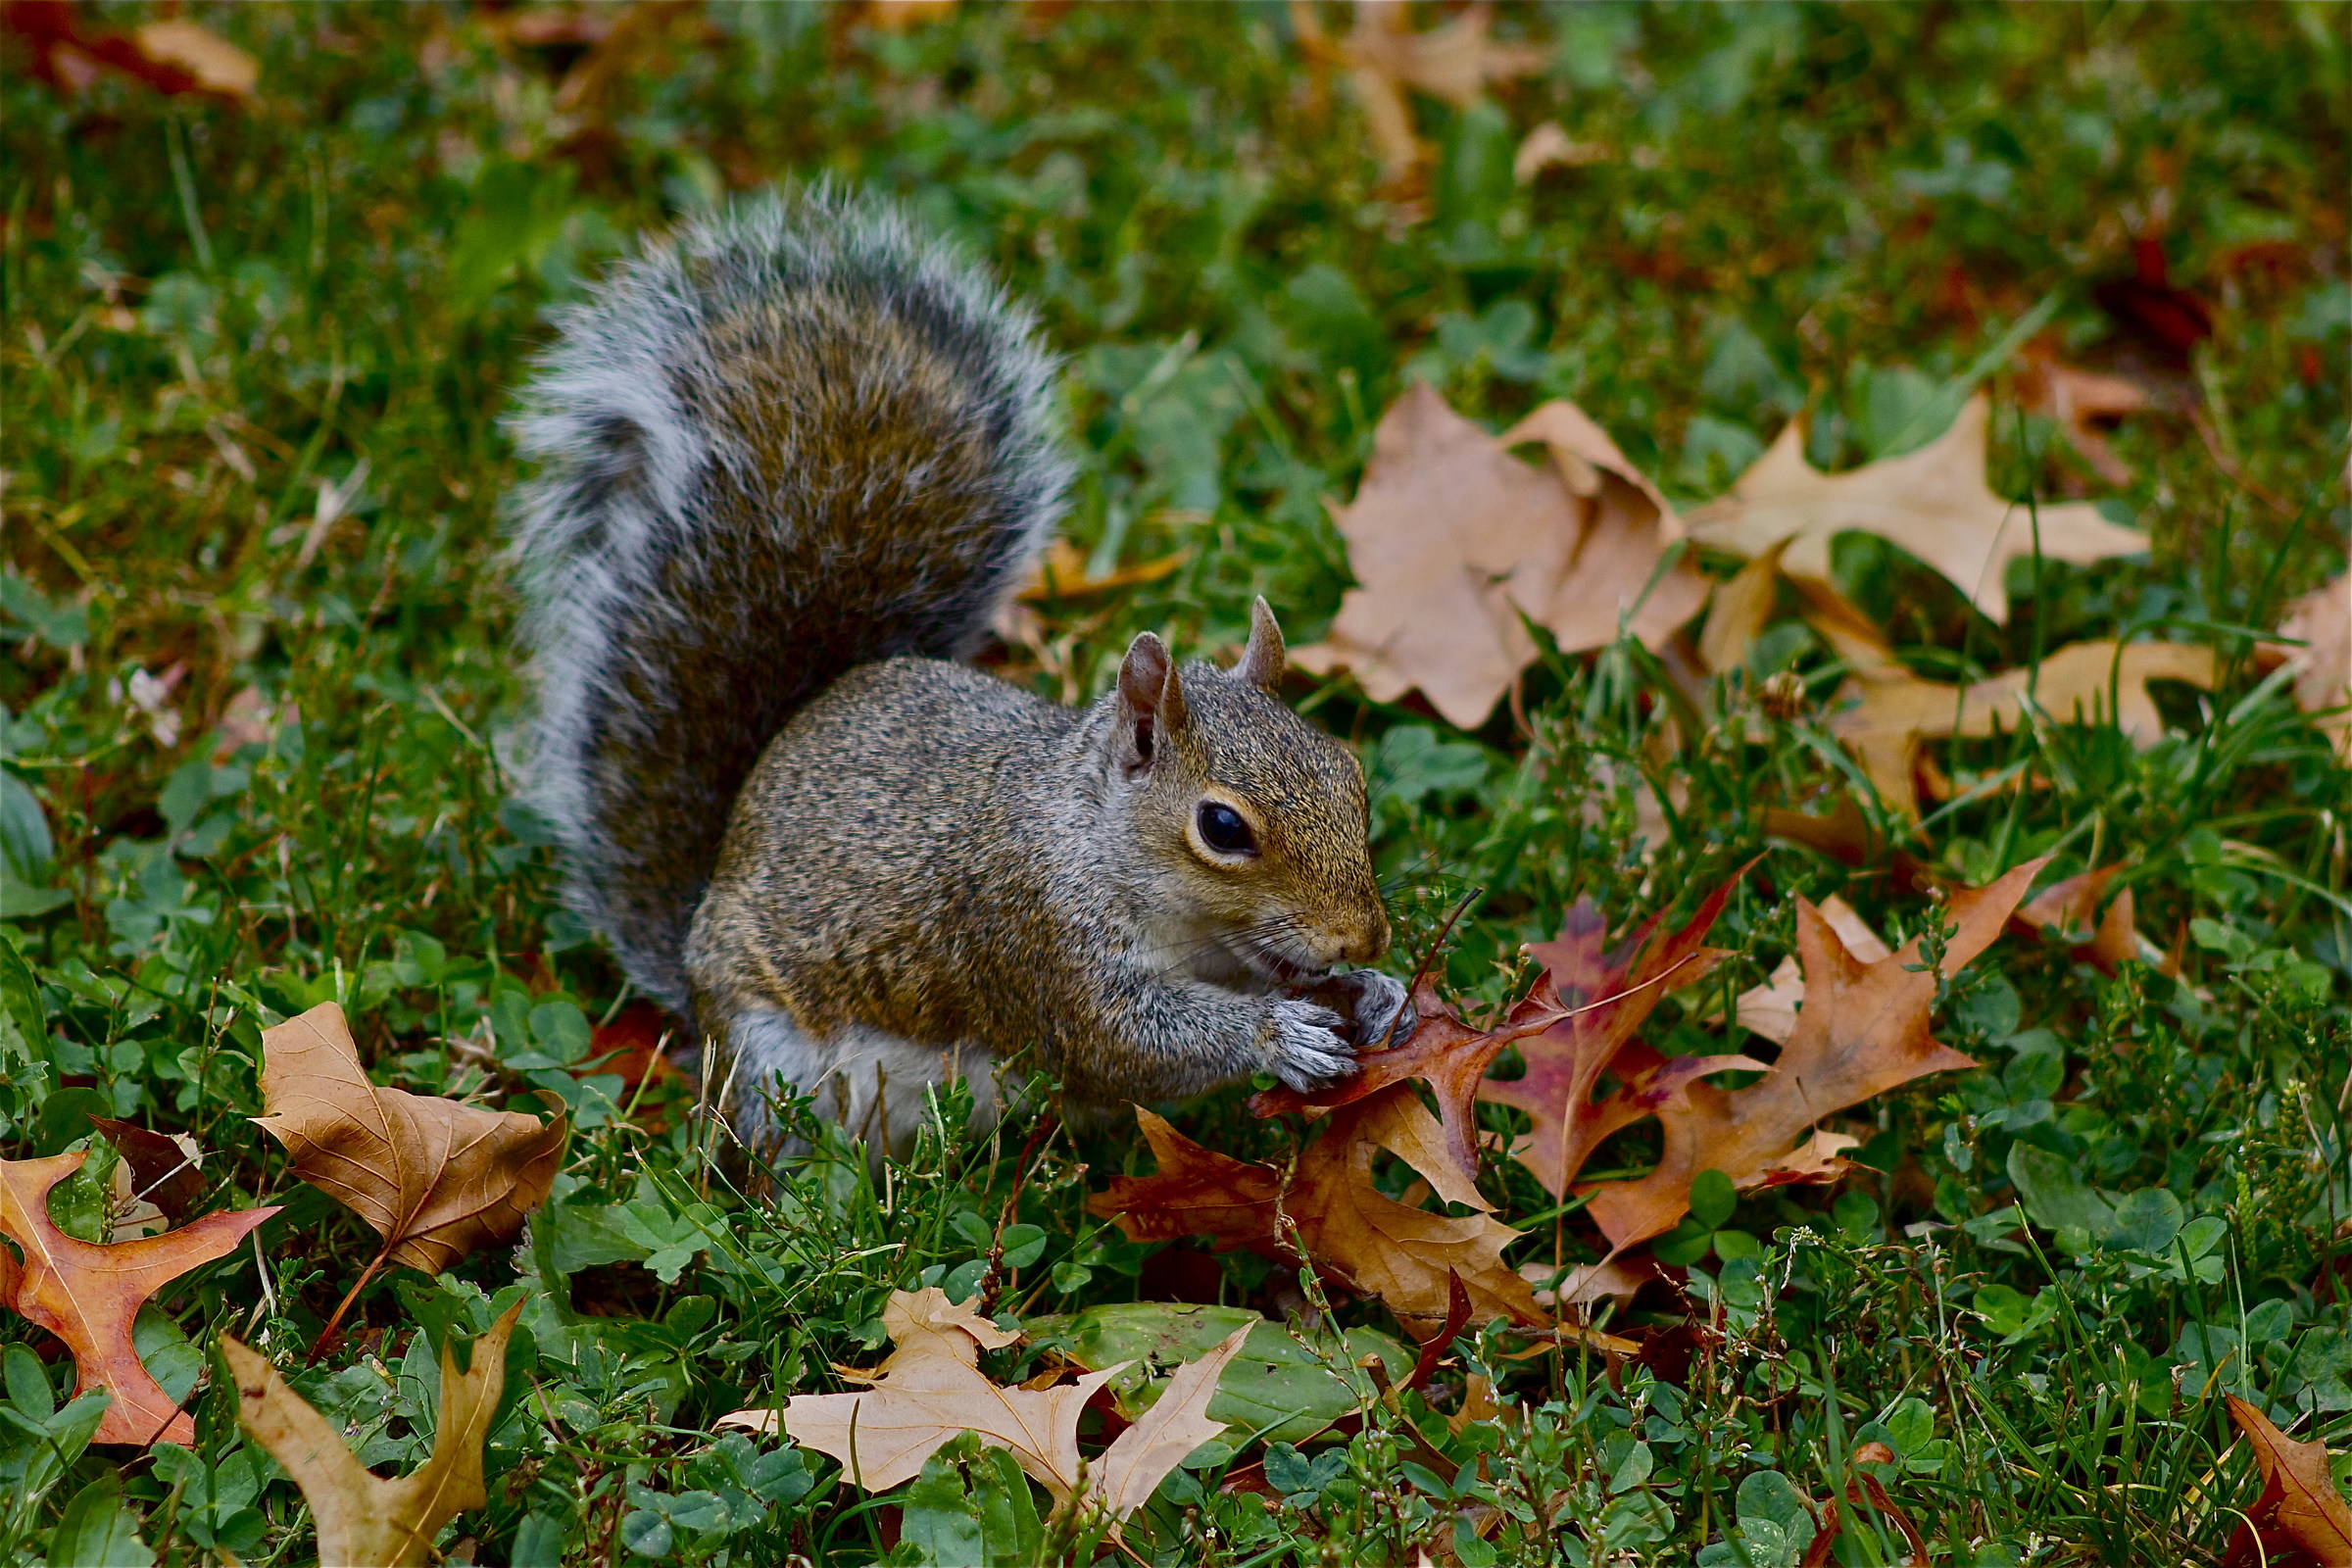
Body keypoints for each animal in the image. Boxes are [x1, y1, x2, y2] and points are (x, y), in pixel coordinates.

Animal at [507, 189, 1408, 1161]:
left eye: (1349, 774)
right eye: (1222, 828)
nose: (1364, 934)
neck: (1093, 838)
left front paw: (1371, 992)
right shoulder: (1038, 943)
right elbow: (1128, 1046)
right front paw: (1279, 1033)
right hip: (773, 1062)